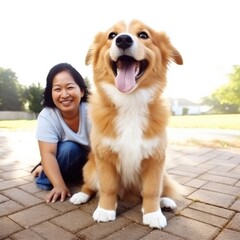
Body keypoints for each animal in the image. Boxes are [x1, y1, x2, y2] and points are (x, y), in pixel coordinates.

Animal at [70, 19, 183, 228]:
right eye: (112, 35)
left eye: (144, 35)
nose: (123, 40)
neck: (130, 101)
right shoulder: (104, 157)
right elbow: (107, 187)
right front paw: (105, 210)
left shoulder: (155, 159)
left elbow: (152, 190)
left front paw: (153, 213)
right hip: (90, 167)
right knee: (90, 186)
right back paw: (81, 195)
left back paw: (165, 201)